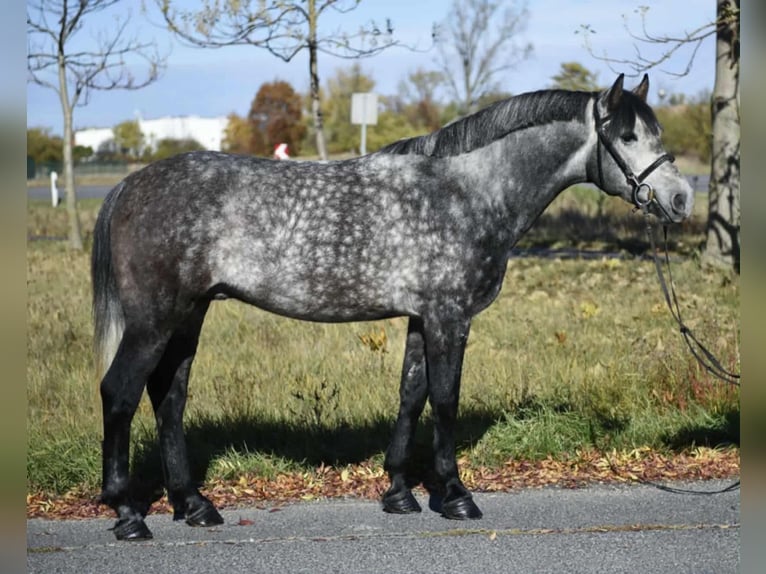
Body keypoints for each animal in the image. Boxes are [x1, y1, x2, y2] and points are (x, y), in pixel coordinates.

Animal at [92, 74, 693, 540]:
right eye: (627, 135)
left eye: (657, 132)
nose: (681, 198)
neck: (466, 193)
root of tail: (128, 186)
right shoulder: (450, 317)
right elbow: (445, 401)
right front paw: (456, 495)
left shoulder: (421, 318)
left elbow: (411, 395)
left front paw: (400, 492)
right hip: (154, 321)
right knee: (120, 393)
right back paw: (127, 514)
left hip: (188, 315)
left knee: (169, 397)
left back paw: (193, 505)